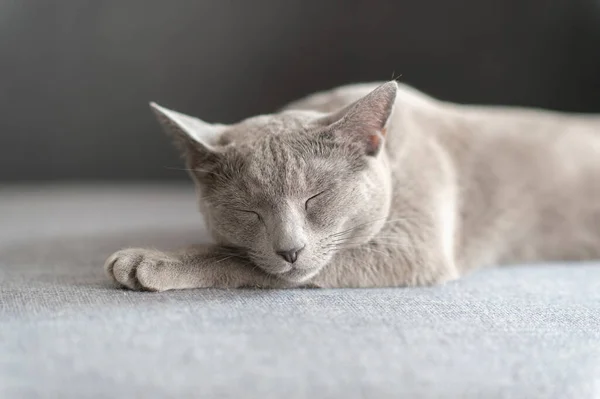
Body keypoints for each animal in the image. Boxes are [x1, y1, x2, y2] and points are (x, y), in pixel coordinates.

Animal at [104, 82, 600, 290]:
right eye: (249, 211)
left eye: (316, 197)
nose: (290, 249)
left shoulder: (411, 246)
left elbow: (237, 260)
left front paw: (153, 262)